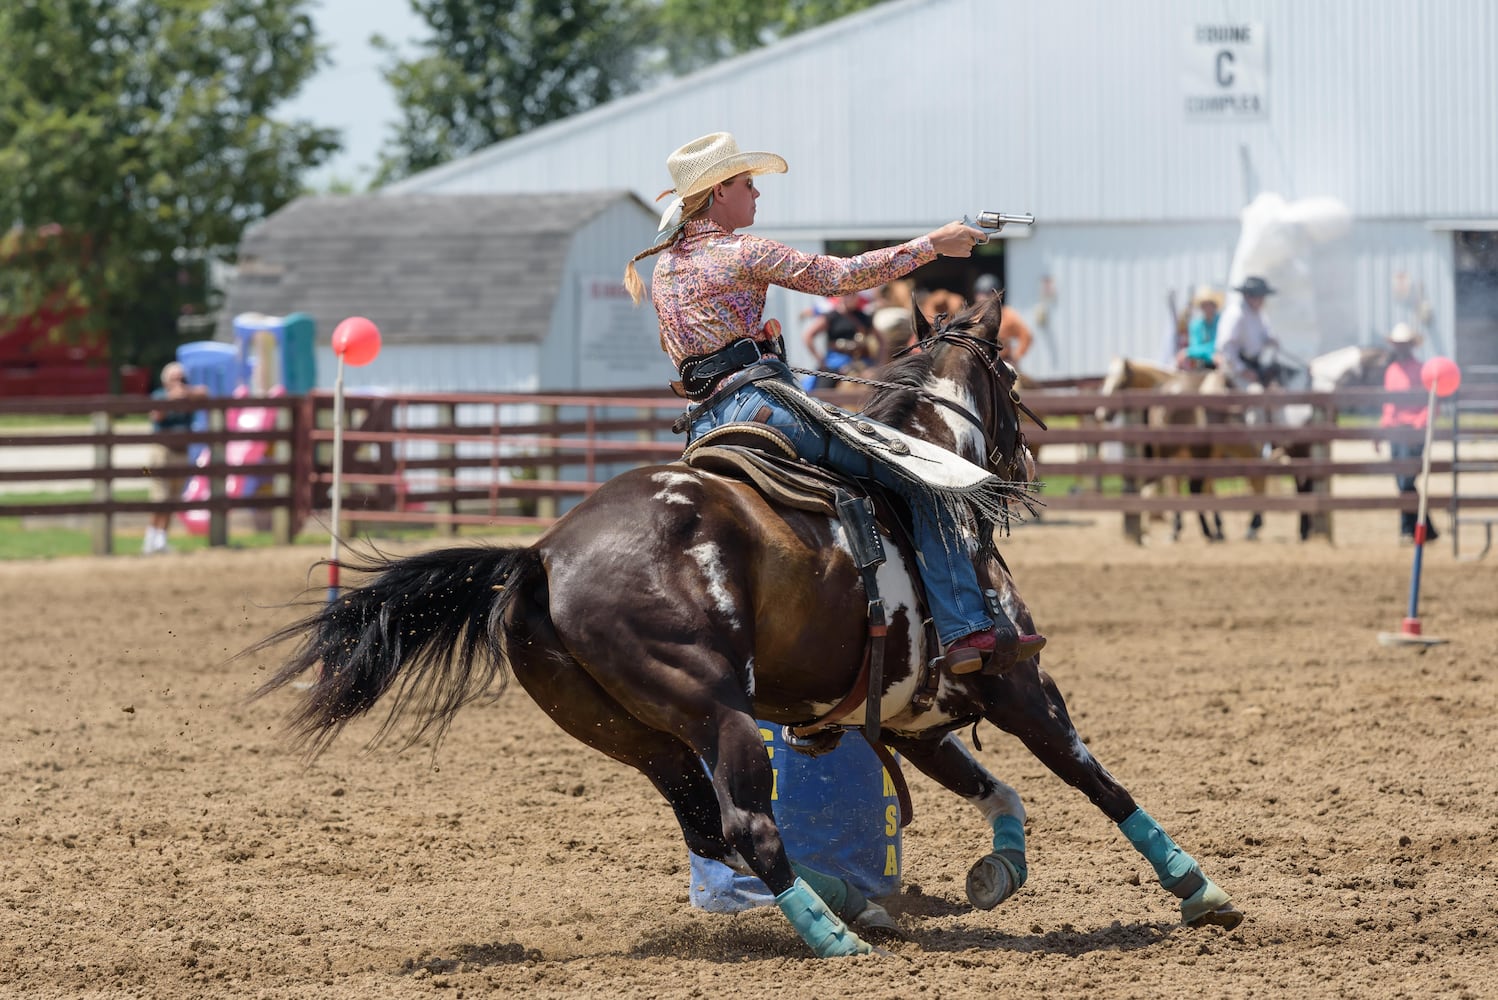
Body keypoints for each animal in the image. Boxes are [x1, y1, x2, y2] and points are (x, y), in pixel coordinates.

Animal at [254, 299, 1240, 958]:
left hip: (631, 733)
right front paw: (1199, 889)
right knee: (748, 825)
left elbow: (997, 791)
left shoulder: (912, 717)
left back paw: (845, 906)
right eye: (1011, 378)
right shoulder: (1015, 679)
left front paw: (999, 871)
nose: (1020, 467)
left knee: (708, 826)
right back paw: (837, 936)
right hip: (715, 708)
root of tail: (541, 556)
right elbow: (1092, 777)